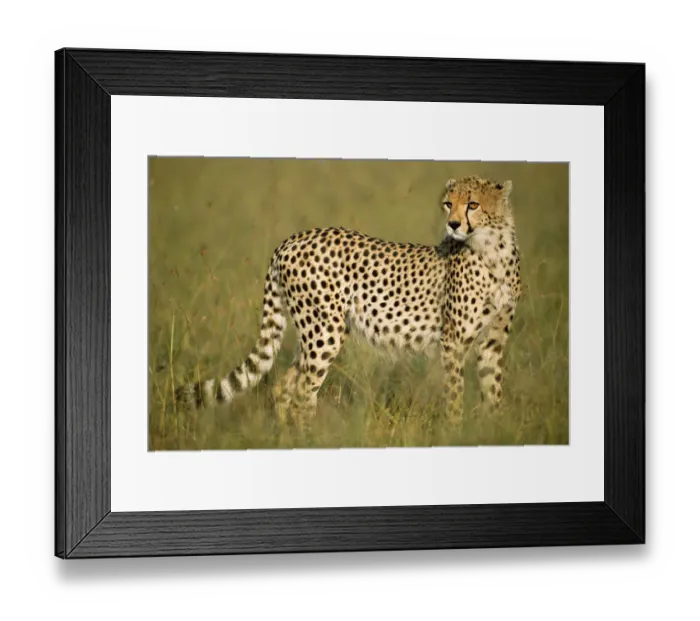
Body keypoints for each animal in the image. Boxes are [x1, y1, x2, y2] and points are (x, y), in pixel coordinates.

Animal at [175, 175, 522, 424]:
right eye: (449, 204)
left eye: (473, 204)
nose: (453, 224)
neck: (494, 250)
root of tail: (291, 240)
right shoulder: (453, 341)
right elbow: (455, 392)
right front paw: (454, 431)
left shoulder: (493, 341)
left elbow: (493, 388)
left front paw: (492, 430)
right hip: (324, 331)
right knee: (303, 393)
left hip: (315, 332)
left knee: (284, 386)